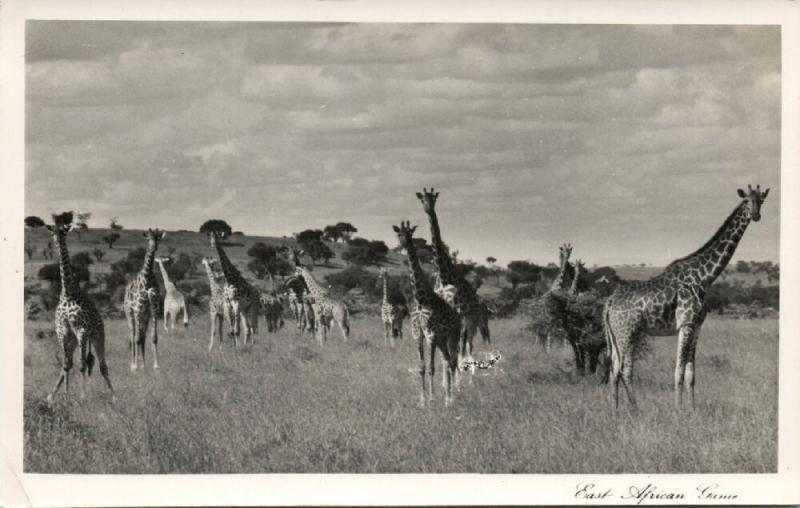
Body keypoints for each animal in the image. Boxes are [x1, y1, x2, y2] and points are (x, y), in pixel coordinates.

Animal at [45, 212, 114, 402]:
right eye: (52, 231)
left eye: (64, 230)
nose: (56, 240)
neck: (68, 292)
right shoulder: (63, 331)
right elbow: (66, 365)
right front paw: (66, 395)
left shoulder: (82, 330)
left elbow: (82, 366)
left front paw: (83, 396)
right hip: (74, 340)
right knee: (69, 363)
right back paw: (50, 396)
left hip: (97, 336)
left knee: (103, 366)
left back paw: (114, 396)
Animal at [122, 228, 164, 372]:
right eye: (148, 239)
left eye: (158, 238)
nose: (153, 247)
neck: (148, 278)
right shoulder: (138, 310)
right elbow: (136, 339)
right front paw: (135, 366)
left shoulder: (154, 310)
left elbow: (154, 338)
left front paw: (156, 366)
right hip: (130, 314)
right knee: (132, 336)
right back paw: (133, 365)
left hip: (145, 316)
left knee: (142, 336)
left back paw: (143, 364)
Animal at [390, 220, 460, 406]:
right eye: (398, 233)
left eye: (410, 234)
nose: (403, 244)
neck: (422, 299)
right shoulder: (418, 334)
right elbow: (421, 367)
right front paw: (422, 400)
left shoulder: (431, 334)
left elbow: (431, 367)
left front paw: (432, 398)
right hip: (442, 339)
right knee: (447, 359)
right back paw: (447, 396)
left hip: (453, 335)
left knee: (452, 361)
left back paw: (452, 398)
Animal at [416, 187, 490, 370]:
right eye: (422, 199)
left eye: (434, 199)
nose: (428, 209)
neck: (443, 275)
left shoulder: (459, 313)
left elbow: (458, 345)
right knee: (466, 342)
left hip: (472, 318)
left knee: (470, 343)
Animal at [608, 186, 768, 408]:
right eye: (746, 200)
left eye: (761, 200)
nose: (755, 215)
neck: (704, 277)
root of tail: (609, 302)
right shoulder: (685, 324)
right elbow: (679, 372)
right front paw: (678, 409)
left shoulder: (697, 326)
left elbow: (691, 374)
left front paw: (692, 409)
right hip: (626, 332)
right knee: (624, 370)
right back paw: (634, 409)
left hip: (618, 335)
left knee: (614, 370)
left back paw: (616, 410)